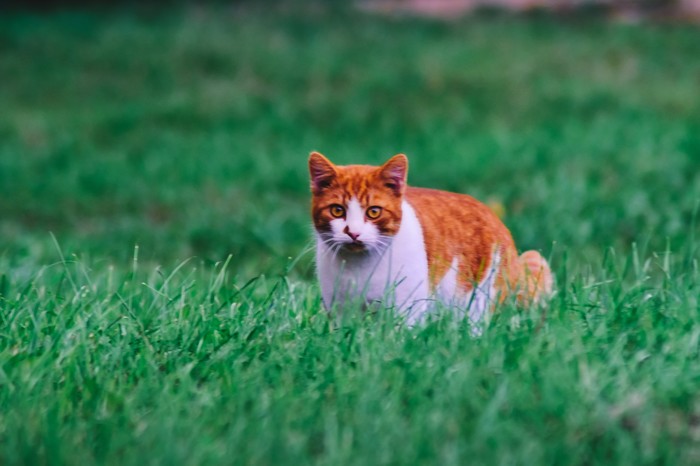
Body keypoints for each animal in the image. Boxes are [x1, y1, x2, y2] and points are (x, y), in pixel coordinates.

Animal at [308, 151, 556, 326]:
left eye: (373, 212)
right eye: (337, 210)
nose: (353, 232)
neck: (360, 270)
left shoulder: (408, 306)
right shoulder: (339, 308)